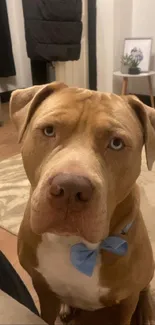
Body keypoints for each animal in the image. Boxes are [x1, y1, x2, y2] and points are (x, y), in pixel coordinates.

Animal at [10, 81, 155, 324]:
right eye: (49, 130)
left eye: (116, 143)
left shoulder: (126, 302)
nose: (70, 188)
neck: (74, 245)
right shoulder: (43, 289)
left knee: (145, 290)